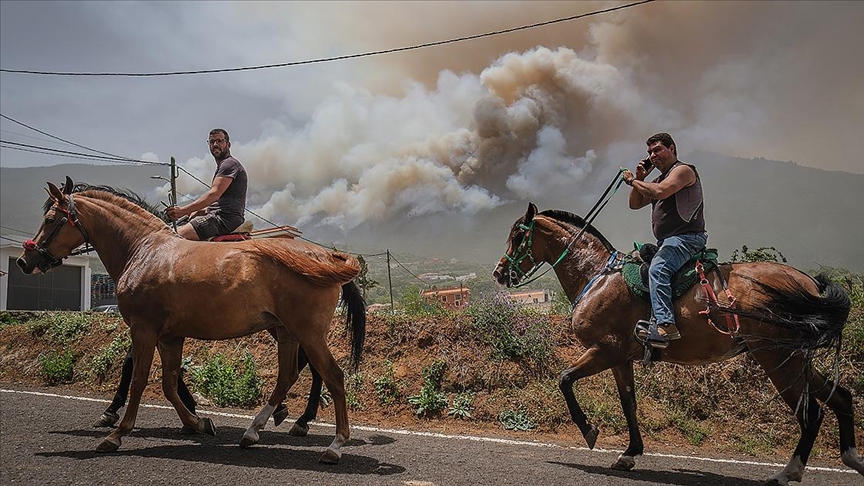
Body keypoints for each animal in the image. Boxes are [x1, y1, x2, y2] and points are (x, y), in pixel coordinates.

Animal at [17, 178, 364, 464]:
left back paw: (334, 444)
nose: (24, 260)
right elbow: (169, 384)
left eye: (50, 220)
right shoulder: (169, 336)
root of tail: (325, 256)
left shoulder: (144, 330)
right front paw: (196, 422)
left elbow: (138, 379)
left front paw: (117, 432)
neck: (143, 250)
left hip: (308, 332)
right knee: (289, 375)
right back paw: (256, 428)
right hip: (287, 332)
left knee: (332, 376)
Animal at [492, 202, 864, 486]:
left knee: (811, 413)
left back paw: (789, 472)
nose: (499, 273)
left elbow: (565, 379)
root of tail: (808, 283)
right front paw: (630, 453)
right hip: (796, 359)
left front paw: (588, 430)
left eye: (518, 235)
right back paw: (852, 458)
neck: (596, 276)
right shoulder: (621, 359)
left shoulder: (605, 350)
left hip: (778, 359)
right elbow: (629, 403)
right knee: (841, 398)